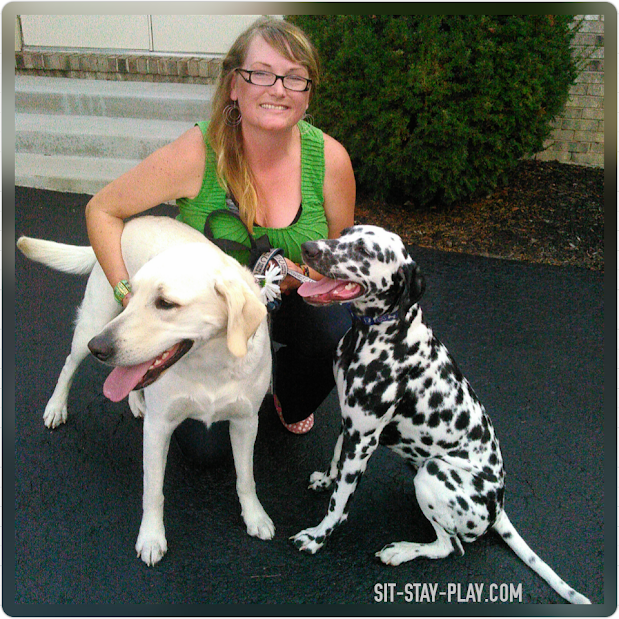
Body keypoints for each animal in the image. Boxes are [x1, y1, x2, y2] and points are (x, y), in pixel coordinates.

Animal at [16, 218, 274, 568]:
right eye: (132, 293)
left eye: (166, 303)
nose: (98, 348)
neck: (212, 364)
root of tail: (134, 221)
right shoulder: (158, 427)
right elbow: (153, 491)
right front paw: (151, 537)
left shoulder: (246, 422)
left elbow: (246, 477)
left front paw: (254, 515)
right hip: (94, 321)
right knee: (69, 364)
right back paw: (56, 406)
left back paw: (135, 400)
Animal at [290, 224, 592, 604]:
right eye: (344, 233)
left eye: (363, 250)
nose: (308, 247)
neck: (378, 335)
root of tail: (499, 506)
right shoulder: (350, 425)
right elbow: (335, 459)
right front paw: (326, 478)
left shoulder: (363, 440)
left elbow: (339, 502)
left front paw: (318, 536)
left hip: (431, 474)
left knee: (450, 547)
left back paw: (401, 551)